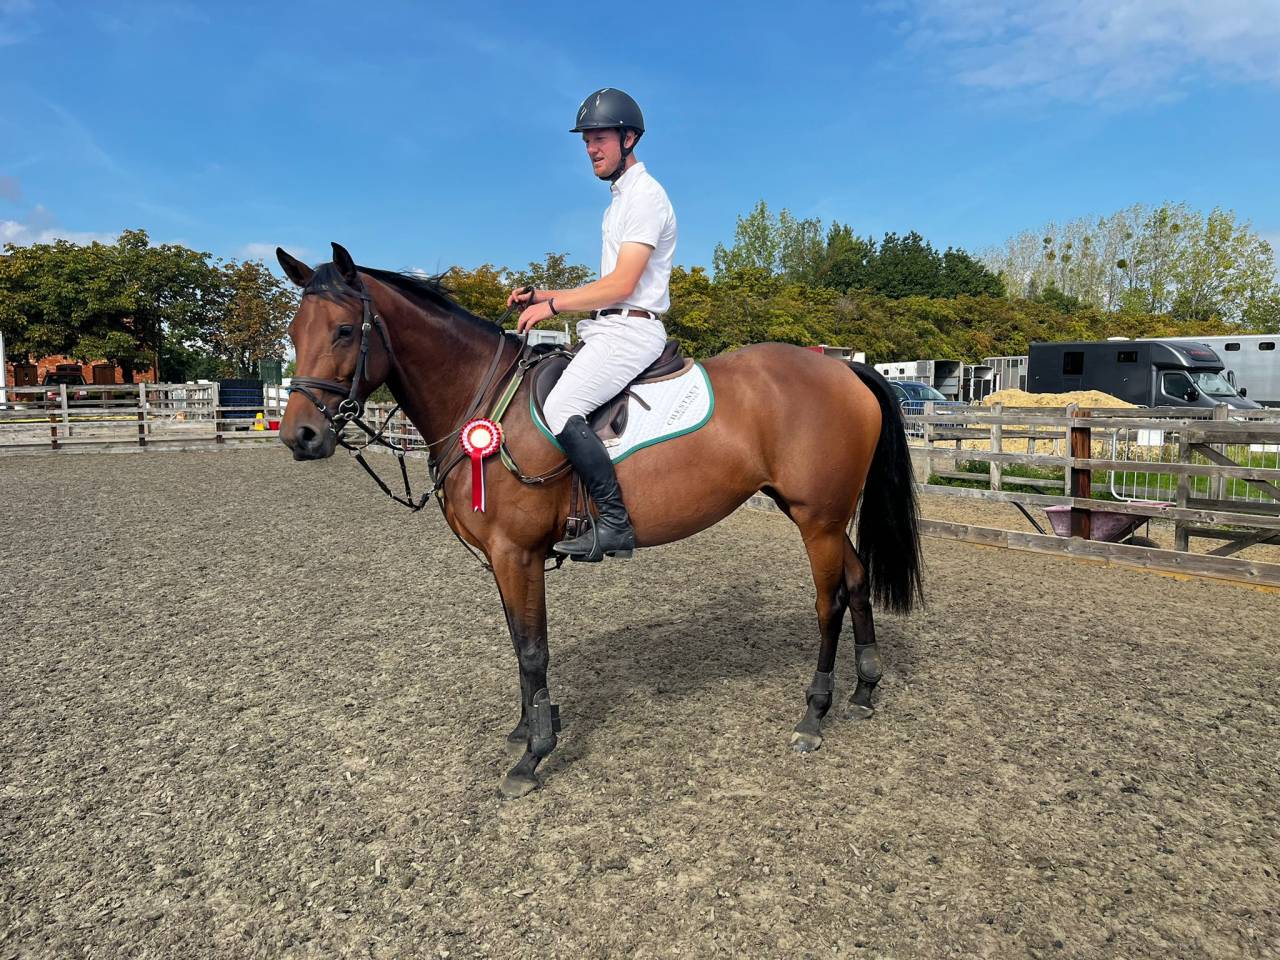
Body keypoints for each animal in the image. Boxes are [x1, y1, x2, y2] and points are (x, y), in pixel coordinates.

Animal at [277, 243, 923, 799]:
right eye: (292, 332)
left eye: (343, 330)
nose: (299, 437)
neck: (485, 402)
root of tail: (844, 371)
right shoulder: (504, 559)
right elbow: (518, 640)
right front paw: (528, 726)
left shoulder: (517, 552)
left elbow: (533, 649)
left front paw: (532, 756)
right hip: (820, 515)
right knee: (858, 581)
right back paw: (865, 690)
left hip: (817, 520)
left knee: (829, 602)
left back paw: (814, 714)